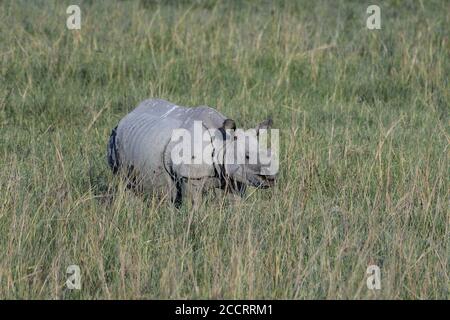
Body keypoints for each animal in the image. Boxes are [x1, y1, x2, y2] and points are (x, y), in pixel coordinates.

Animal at [109, 98, 278, 208]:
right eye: (247, 156)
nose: (271, 178)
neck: (223, 142)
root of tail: (126, 116)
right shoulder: (190, 175)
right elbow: (194, 204)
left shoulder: (234, 176)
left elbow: (236, 202)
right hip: (115, 139)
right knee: (125, 182)